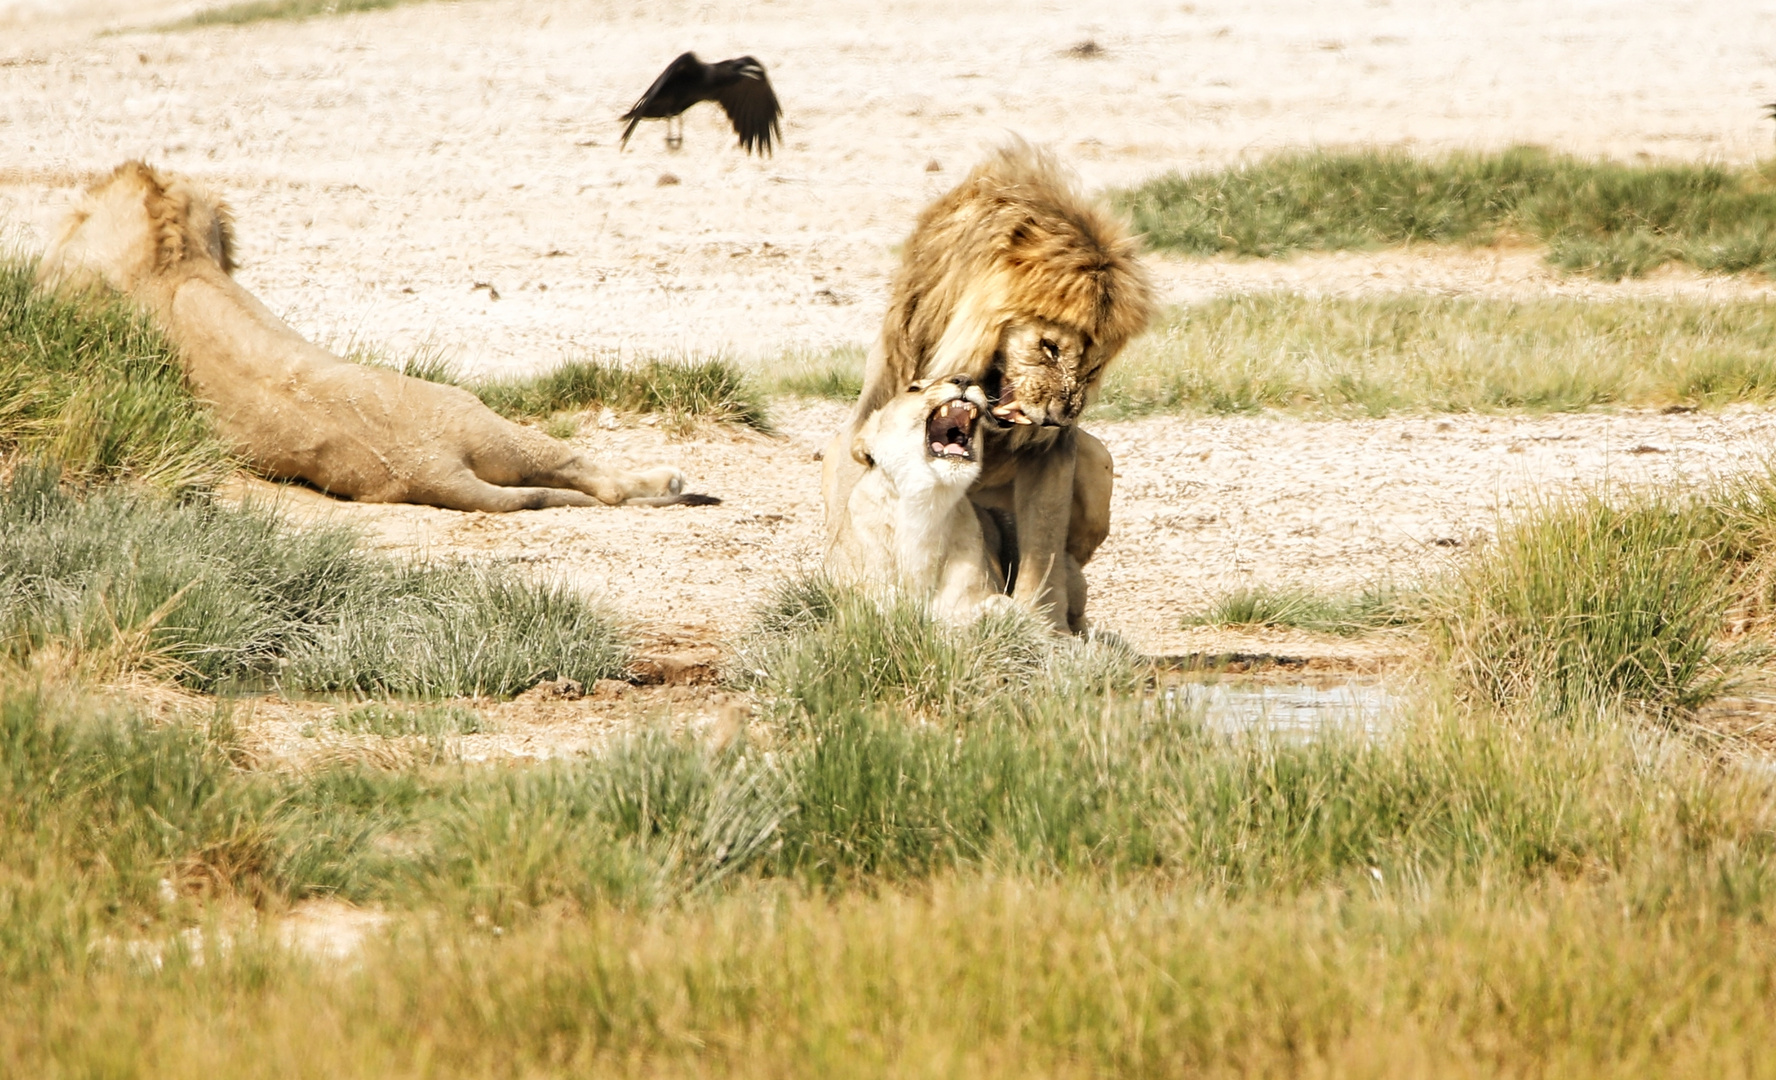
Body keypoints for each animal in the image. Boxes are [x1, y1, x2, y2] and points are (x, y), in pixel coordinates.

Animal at [820, 374, 1015, 621]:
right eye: (913, 388)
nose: (964, 379)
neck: (926, 504)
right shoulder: (840, 583)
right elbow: (866, 592)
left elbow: (997, 604)